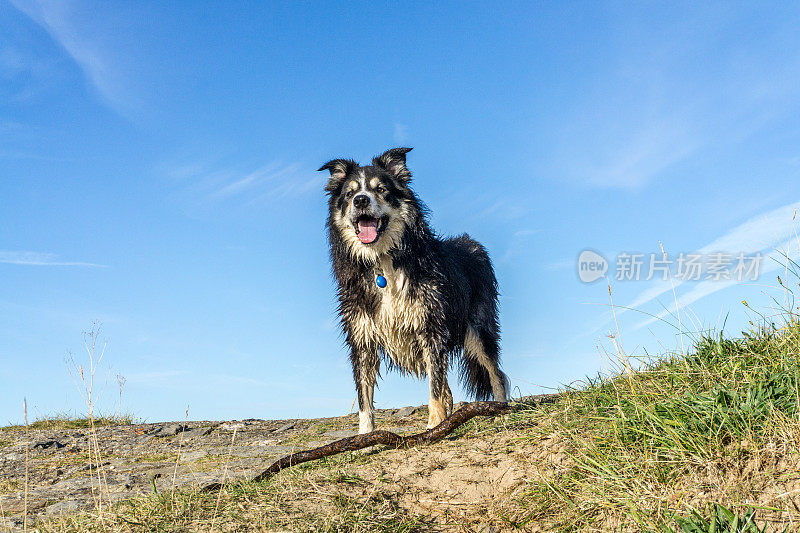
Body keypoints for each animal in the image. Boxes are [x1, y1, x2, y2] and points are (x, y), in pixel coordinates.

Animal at [318, 145, 506, 432]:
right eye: (349, 194)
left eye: (381, 189)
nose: (360, 201)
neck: (382, 262)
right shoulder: (362, 336)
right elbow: (364, 398)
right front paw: (364, 436)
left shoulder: (431, 326)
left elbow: (435, 389)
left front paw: (435, 426)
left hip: (478, 326)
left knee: (495, 372)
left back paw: (501, 409)